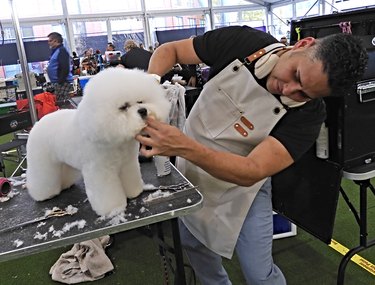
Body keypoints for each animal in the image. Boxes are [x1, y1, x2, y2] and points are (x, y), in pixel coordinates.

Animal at [26, 67, 172, 215]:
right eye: (123, 107)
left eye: (140, 101)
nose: (143, 111)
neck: (117, 143)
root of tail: (39, 123)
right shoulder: (100, 171)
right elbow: (107, 193)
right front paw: (113, 208)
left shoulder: (128, 164)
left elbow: (130, 178)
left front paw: (134, 192)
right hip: (42, 162)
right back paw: (44, 194)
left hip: (63, 161)